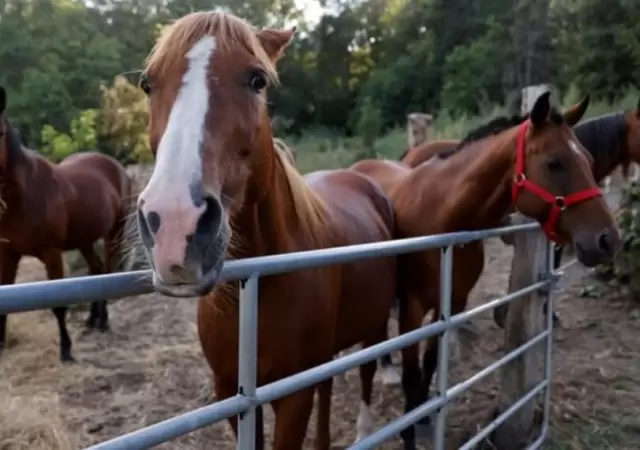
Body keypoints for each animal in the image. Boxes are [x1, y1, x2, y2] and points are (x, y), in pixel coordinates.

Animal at [0, 86, 134, 362]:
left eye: (1, 132)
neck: (24, 193)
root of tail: (114, 165)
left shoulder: (51, 254)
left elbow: (59, 304)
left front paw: (66, 350)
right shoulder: (7, 253)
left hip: (114, 233)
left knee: (107, 272)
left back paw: (103, 322)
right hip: (84, 240)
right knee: (95, 271)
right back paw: (93, 320)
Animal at [135, 11, 398, 449]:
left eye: (257, 79)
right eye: (147, 84)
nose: (174, 224)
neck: (258, 287)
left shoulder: (292, 396)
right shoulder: (231, 392)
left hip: (373, 324)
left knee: (366, 370)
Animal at [350, 91, 621, 450]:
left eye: (589, 159)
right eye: (555, 163)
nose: (608, 240)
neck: (441, 215)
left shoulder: (450, 304)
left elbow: (429, 363)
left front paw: (424, 417)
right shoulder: (412, 307)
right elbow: (411, 375)